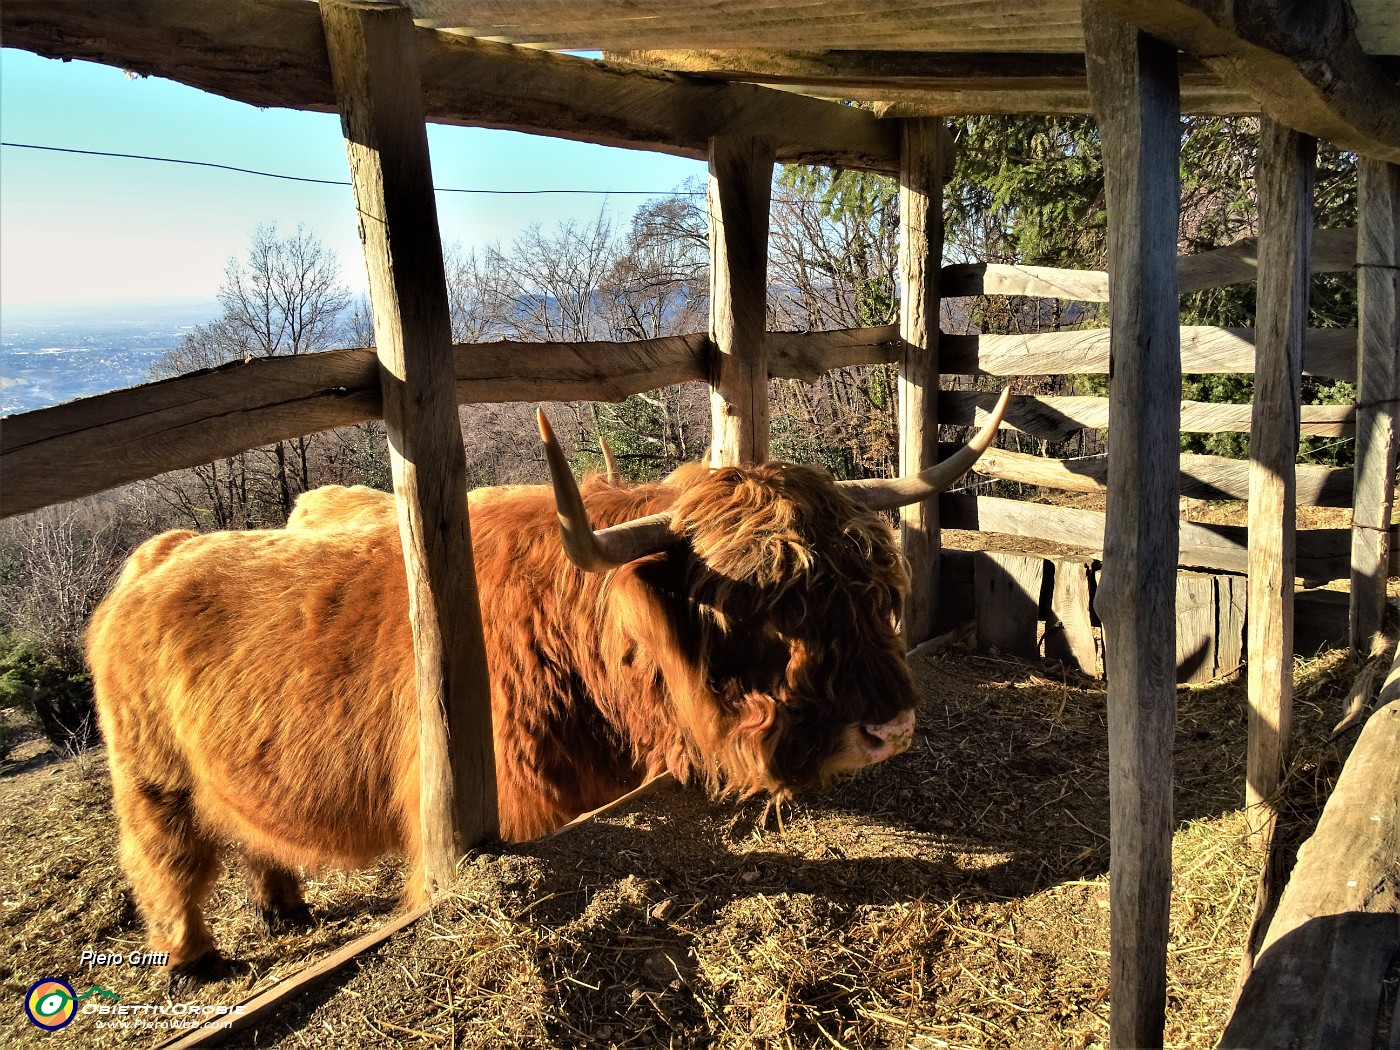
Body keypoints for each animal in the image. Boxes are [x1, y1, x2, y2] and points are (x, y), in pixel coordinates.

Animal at [84, 392, 1008, 985]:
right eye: (769, 605)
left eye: (870, 585)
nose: (890, 726)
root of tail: (160, 552)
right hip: (152, 777)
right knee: (166, 858)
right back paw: (198, 962)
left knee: (255, 835)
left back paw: (285, 908)